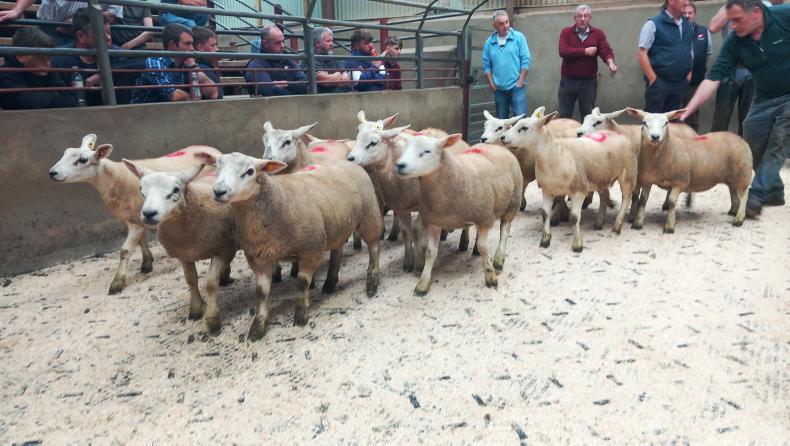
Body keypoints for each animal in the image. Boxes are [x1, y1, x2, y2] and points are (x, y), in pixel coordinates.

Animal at [48, 133, 221, 294]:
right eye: (65, 152)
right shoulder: (134, 217)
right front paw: (147, 263)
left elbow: (125, 250)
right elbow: (141, 241)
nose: (52, 173)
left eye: (83, 160)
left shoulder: (137, 220)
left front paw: (117, 283)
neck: (115, 178)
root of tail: (213, 149)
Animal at [122, 161, 236, 333]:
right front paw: (195, 309)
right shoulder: (184, 256)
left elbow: (210, 283)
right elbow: (191, 280)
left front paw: (212, 318)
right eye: (141, 189)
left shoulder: (222, 251)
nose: (149, 213)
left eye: (176, 189)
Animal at [198, 151, 382, 341]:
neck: (276, 203)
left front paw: (301, 316)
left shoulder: (311, 249)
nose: (219, 191)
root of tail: (349, 163)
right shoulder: (258, 258)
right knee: (337, 253)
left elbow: (302, 283)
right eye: (217, 168)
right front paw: (258, 326)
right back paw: (330, 284)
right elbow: (262, 291)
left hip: (369, 216)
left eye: (250, 171)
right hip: (337, 225)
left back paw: (372, 283)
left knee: (374, 247)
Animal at [394, 133, 522, 295]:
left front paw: (490, 277)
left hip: (513, 202)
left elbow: (484, 248)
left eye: (427, 151)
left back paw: (499, 260)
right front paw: (423, 283)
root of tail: (497, 146)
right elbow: (430, 252)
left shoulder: (484, 218)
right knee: (470, 228)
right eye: (405, 149)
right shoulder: (434, 222)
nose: (400, 165)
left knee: (504, 230)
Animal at [501, 112, 636, 252]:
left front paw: (577, 245)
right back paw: (599, 223)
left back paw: (617, 226)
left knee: (626, 197)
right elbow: (545, 214)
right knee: (604, 196)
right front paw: (545, 241)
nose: (502, 137)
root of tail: (618, 134)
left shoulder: (579, 190)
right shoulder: (547, 190)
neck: (556, 155)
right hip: (601, 176)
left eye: (524, 128)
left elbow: (575, 217)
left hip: (627, 173)